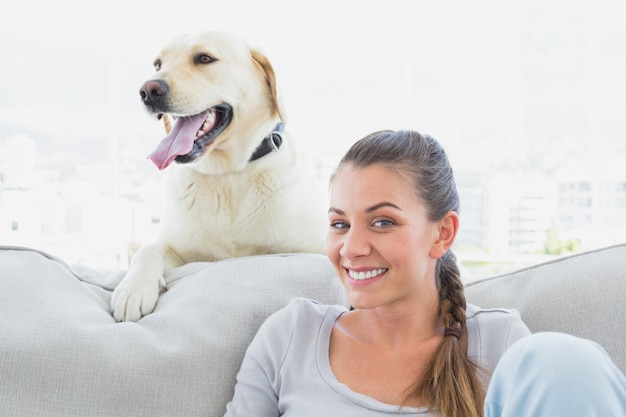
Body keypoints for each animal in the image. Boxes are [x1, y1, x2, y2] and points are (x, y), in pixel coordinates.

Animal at [111, 30, 326, 322]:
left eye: (204, 58)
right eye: (157, 64)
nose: (148, 90)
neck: (227, 176)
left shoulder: (313, 249)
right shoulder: (180, 251)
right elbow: (148, 248)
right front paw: (132, 289)